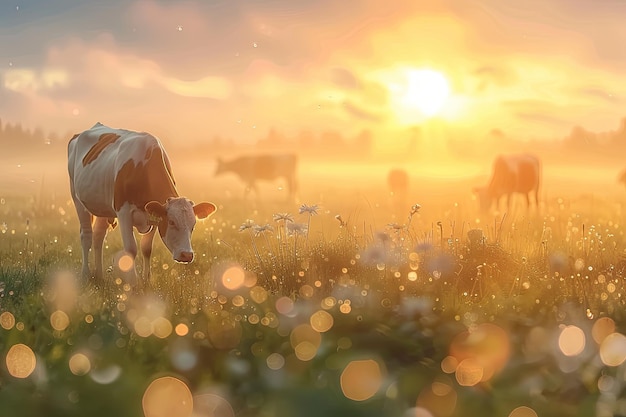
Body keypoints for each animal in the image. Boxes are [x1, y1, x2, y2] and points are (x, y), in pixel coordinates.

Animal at [68, 120, 217, 282]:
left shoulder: (153, 215)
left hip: (103, 206)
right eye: (171, 222)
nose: (187, 255)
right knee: (86, 236)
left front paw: (147, 280)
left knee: (98, 236)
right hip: (77, 199)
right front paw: (133, 282)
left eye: (193, 225)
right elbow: (131, 249)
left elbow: (146, 248)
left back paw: (100, 275)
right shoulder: (123, 212)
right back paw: (86, 273)